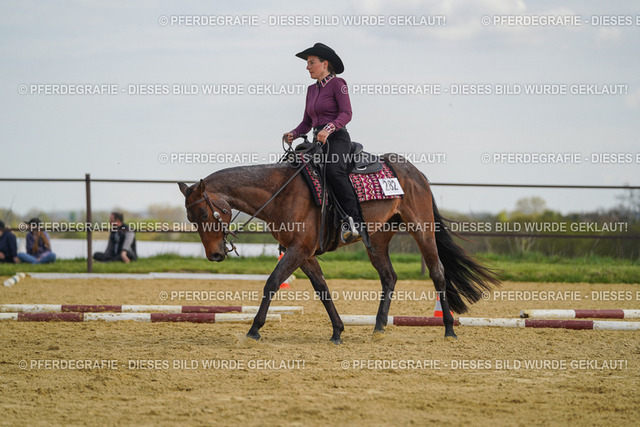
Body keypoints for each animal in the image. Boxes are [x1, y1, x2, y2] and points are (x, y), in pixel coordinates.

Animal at [178, 154, 499, 344]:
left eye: (204, 214)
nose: (215, 254)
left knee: (437, 273)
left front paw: (254, 329)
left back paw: (448, 328)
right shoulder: (303, 253)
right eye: (191, 218)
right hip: (377, 240)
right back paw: (379, 327)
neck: (281, 192)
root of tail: (414, 172)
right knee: (389, 277)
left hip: (422, 229)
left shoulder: (298, 249)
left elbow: (272, 282)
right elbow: (322, 289)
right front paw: (337, 330)